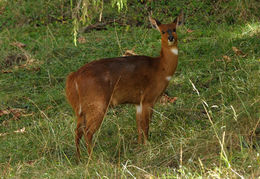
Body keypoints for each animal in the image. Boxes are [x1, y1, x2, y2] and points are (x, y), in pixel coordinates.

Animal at [66, 11, 184, 159]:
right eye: (162, 31)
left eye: (174, 29)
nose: (170, 38)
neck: (161, 68)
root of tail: (73, 77)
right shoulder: (148, 99)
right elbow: (146, 125)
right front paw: (148, 146)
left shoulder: (138, 103)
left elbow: (139, 126)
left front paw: (139, 147)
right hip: (98, 104)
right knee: (88, 132)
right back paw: (92, 158)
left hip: (81, 109)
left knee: (77, 131)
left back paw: (79, 159)